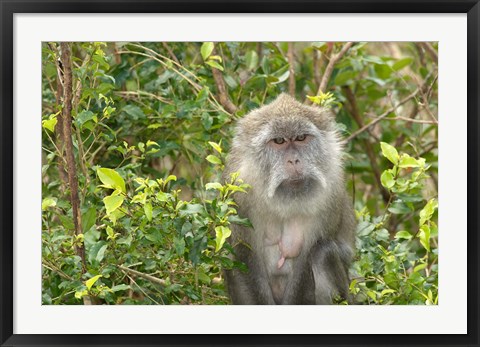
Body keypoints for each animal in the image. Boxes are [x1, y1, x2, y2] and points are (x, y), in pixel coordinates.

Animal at [223, 93, 354, 304]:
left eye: (301, 138)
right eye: (279, 141)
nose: (294, 160)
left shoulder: (330, 192)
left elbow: (305, 265)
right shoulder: (239, 191)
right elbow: (242, 258)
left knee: (323, 252)